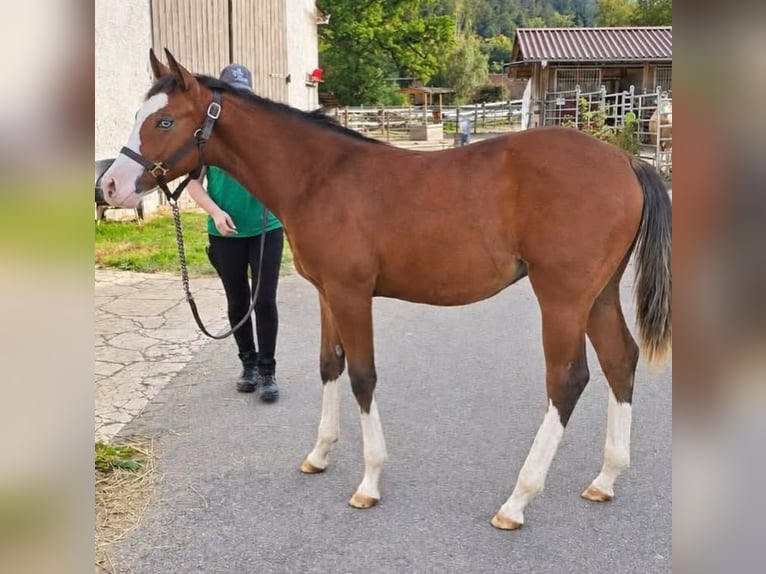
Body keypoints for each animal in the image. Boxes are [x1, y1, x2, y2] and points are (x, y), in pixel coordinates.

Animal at [101, 50, 671, 531]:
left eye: (164, 121)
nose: (109, 187)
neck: (318, 178)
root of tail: (627, 161)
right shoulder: (327, 293)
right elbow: (329, 366)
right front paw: (320, 454)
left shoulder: (352, 294)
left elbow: (362, 376)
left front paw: (370, 481)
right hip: (598, 295)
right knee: (620, 360)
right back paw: (604, 479)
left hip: (562, 297)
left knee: (568, 380)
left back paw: (517, 500)